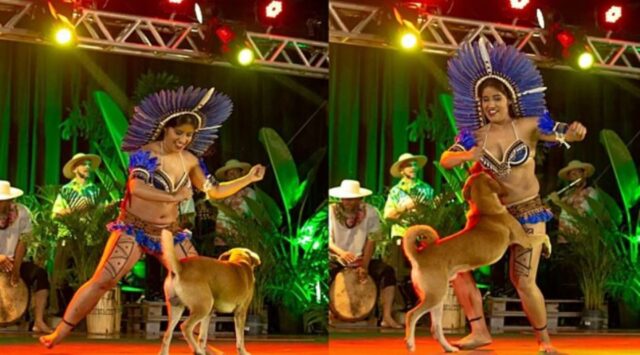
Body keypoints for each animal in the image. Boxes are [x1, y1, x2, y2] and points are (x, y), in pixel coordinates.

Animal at [404, 173, 544, 354]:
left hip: (437, 299)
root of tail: (420, 254)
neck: (486, 209)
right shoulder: (524, 240)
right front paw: (548, 247)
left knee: (436, 329)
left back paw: (449, 348)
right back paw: (410, 344)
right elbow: (544, 237)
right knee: (411, 315)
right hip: (434, 296)